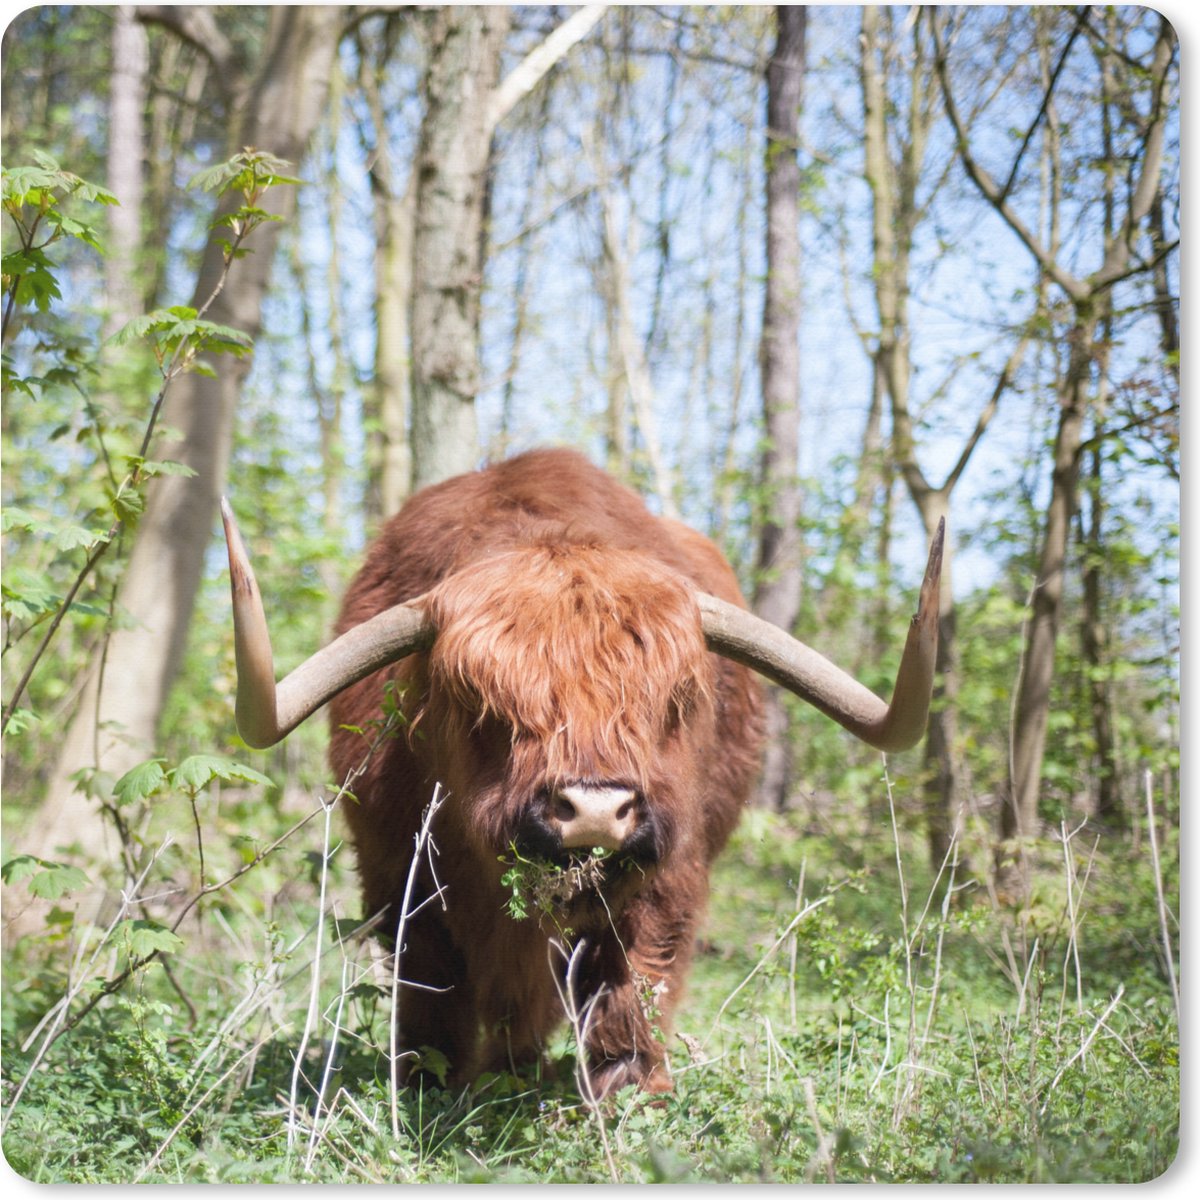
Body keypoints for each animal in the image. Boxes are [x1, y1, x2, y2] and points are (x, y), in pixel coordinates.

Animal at [221, 448, 942, 1098]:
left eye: (675, 697)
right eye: (480, 701)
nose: (595, 810)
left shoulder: (669, 875)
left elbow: (633, 981)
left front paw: (627, 1087)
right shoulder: (400, 875)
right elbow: (432, 987)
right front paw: (431, 1086)